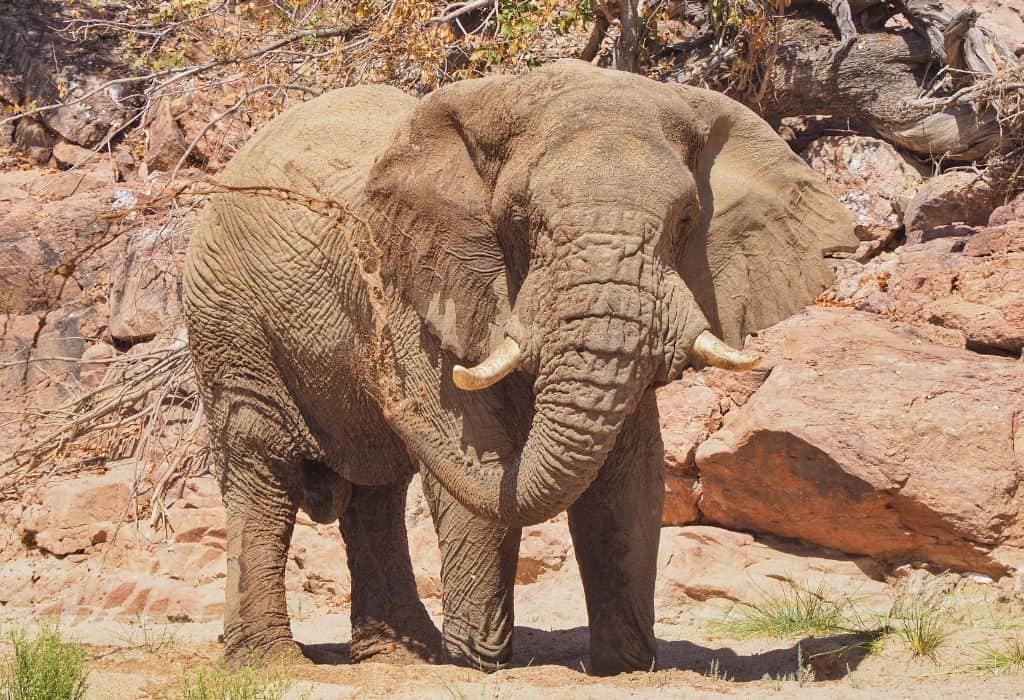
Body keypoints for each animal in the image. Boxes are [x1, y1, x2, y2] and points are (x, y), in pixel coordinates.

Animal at [184, 58, 856, 671]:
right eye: (521, 221)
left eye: (685, 220)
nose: (385, 383)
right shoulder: (415, 292)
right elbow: (477, 448)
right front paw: (480, 664)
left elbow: (628, 477)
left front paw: (627, 665)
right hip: (228, 322)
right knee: (262, 471)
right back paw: (272, 664)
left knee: (375, 496)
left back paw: (403, 657)